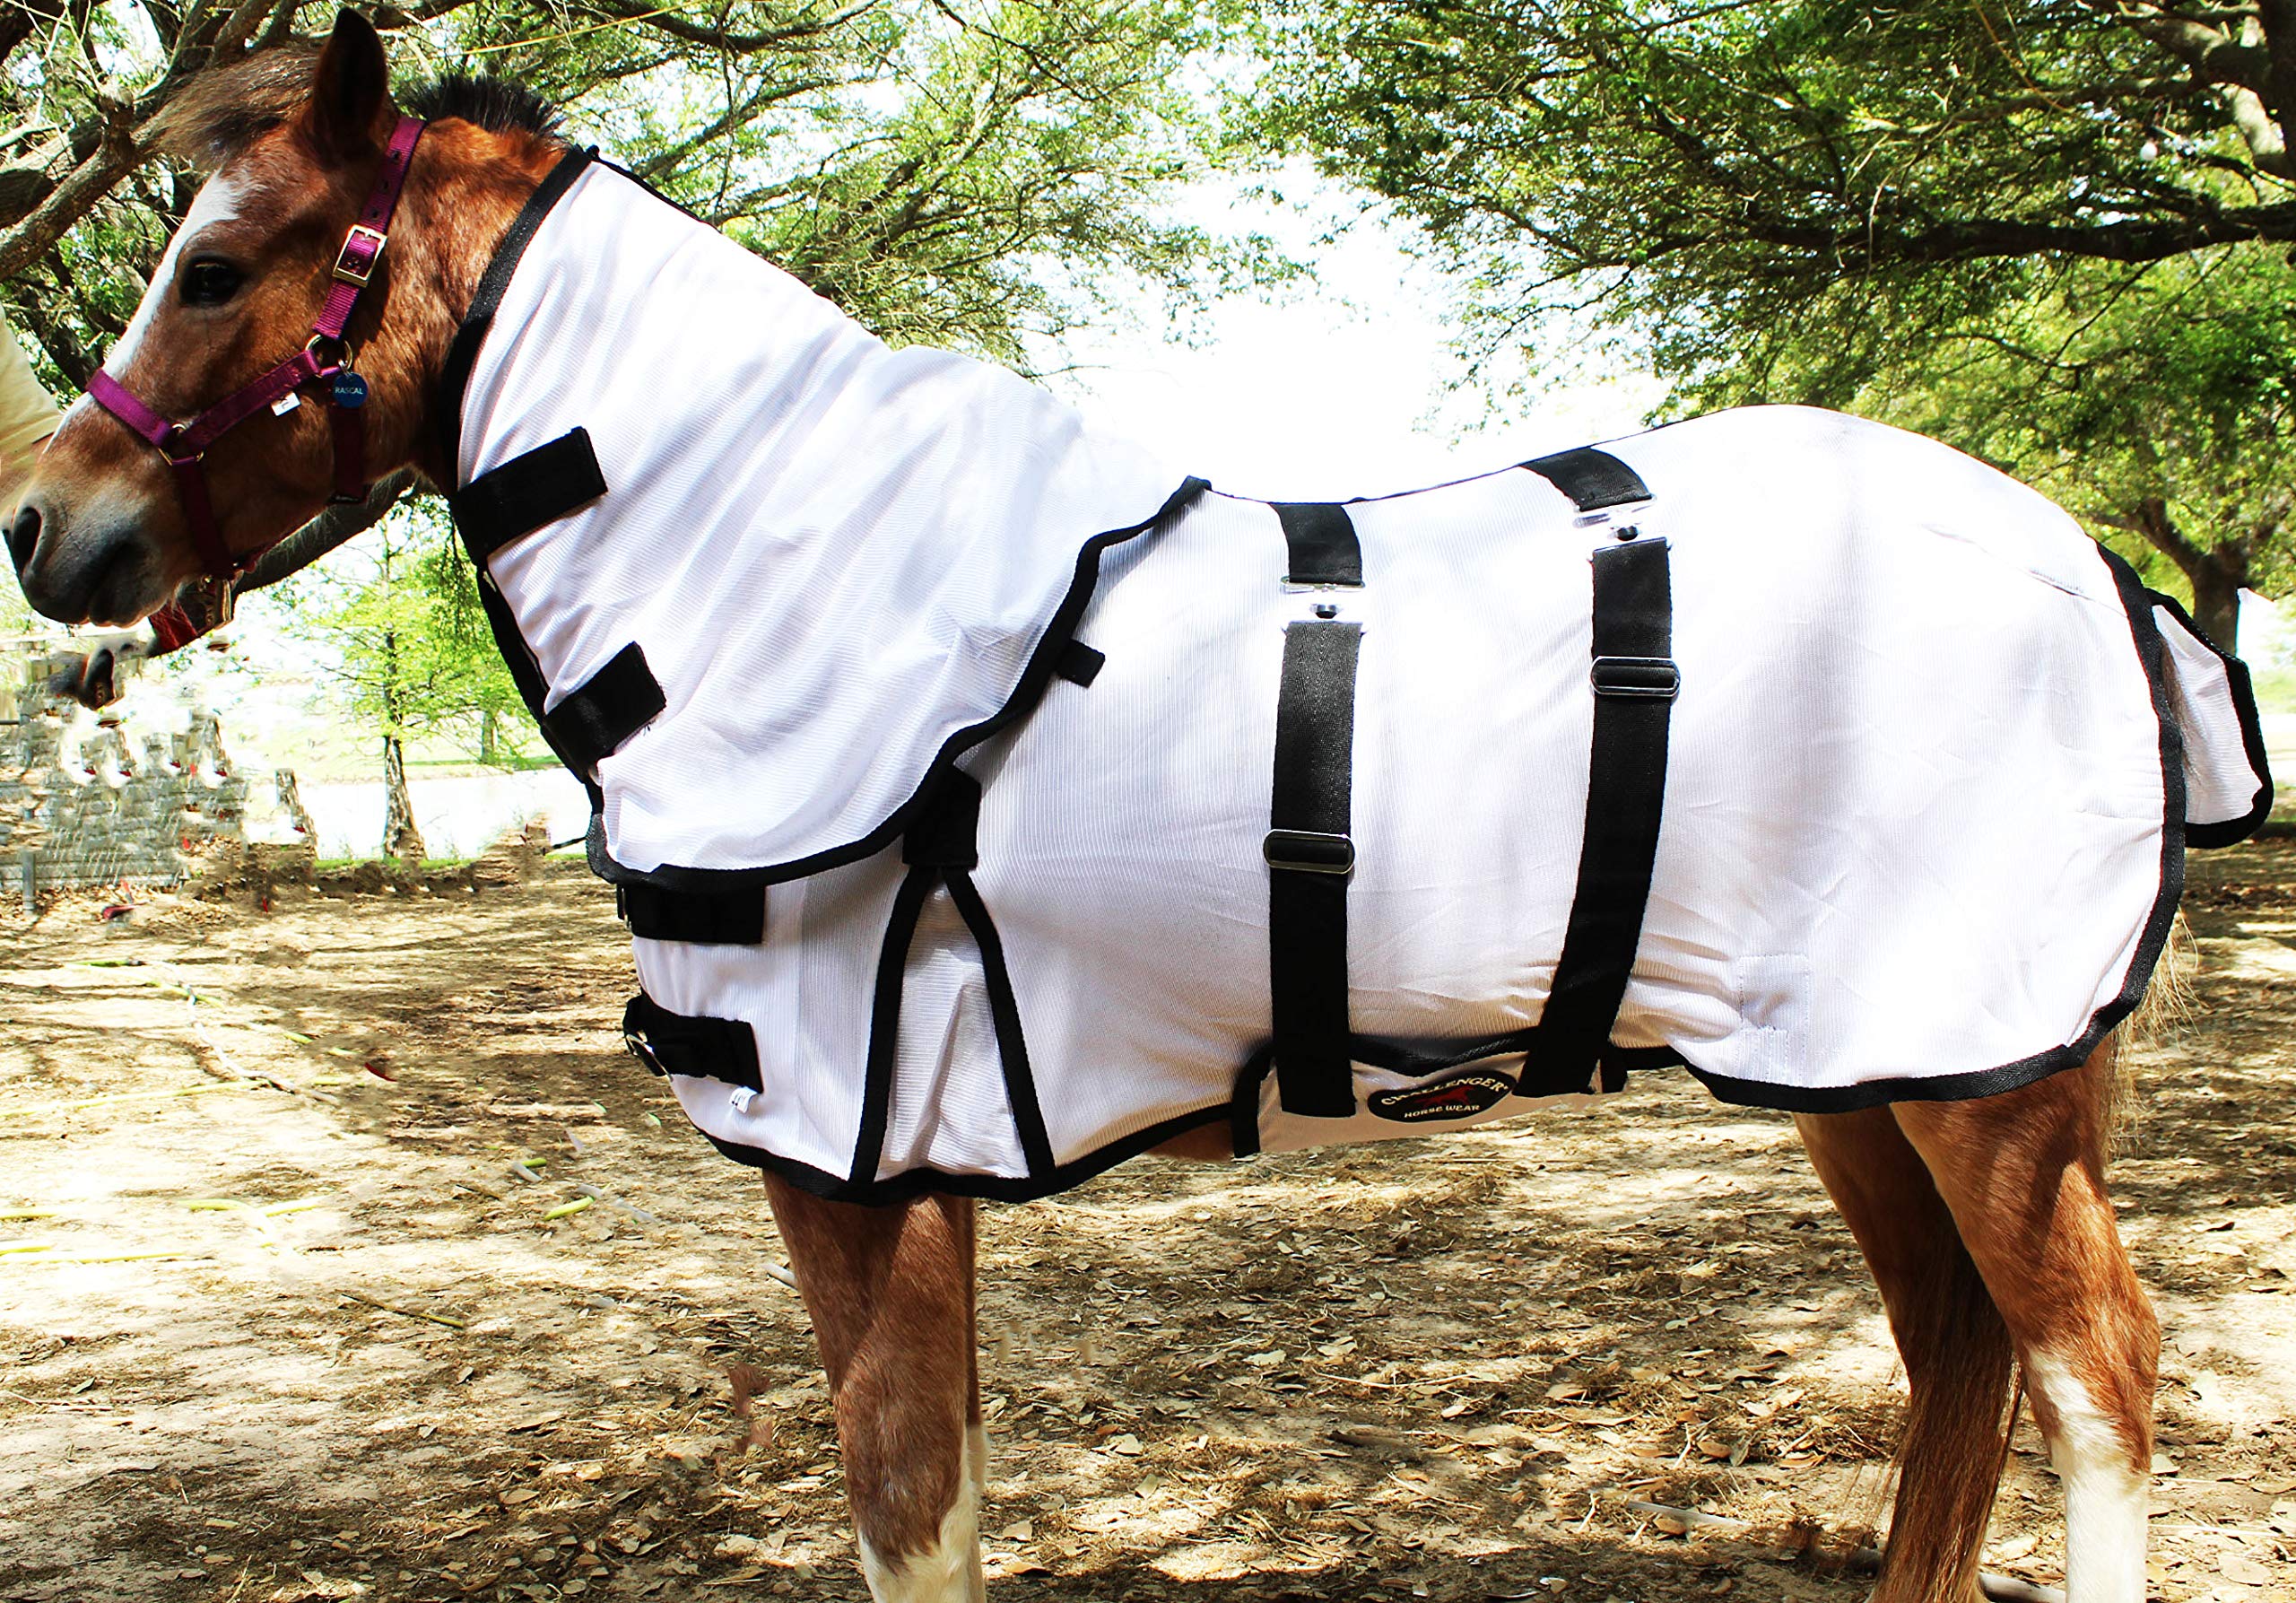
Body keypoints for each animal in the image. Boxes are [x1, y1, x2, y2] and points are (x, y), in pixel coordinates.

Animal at [7, 14, 2234, 1602]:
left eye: (212, 264)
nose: (44, 525)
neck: (791, 561)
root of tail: (2088, 568)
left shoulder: (860, 1172)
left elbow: (907, 1505)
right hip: (1853, 1074)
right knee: (1955, 1359)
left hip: (1983, 1088)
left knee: (2091, 1374)